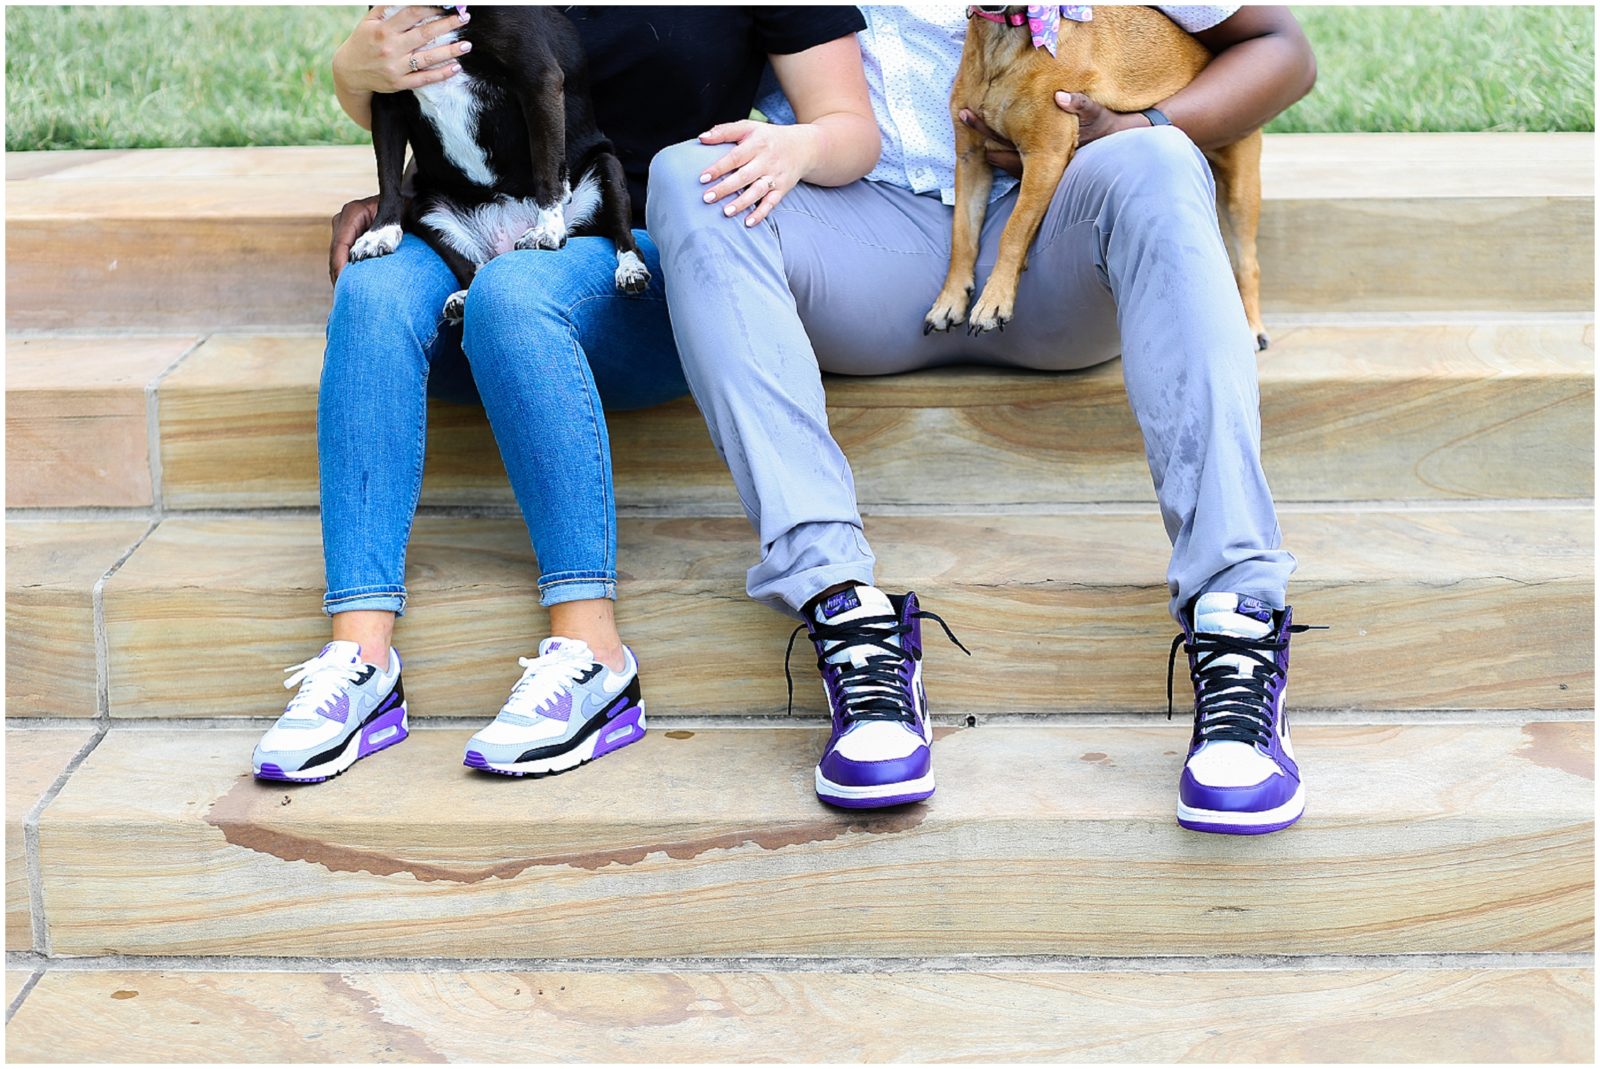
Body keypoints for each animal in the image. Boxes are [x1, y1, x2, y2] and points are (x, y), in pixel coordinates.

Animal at [352, 6, 649, 320]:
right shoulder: (386, 93)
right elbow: (388, 177)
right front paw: (380, 233)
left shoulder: (538, 80)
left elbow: (546, 167)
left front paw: (548, 229)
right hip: (425, 208)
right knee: (475, 269)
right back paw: (463, 298)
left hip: (606, 166)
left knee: (624, 238)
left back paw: (630, 270)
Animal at [921, 3, 1267, 347]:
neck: (1005, 36)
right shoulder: (971, 161)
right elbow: (962, 236)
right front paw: (950, 299)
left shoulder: (1045, 155)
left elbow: (1013, 232)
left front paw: (994, 300)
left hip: (1240, 191)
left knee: (1248, 265)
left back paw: (1252, 327)